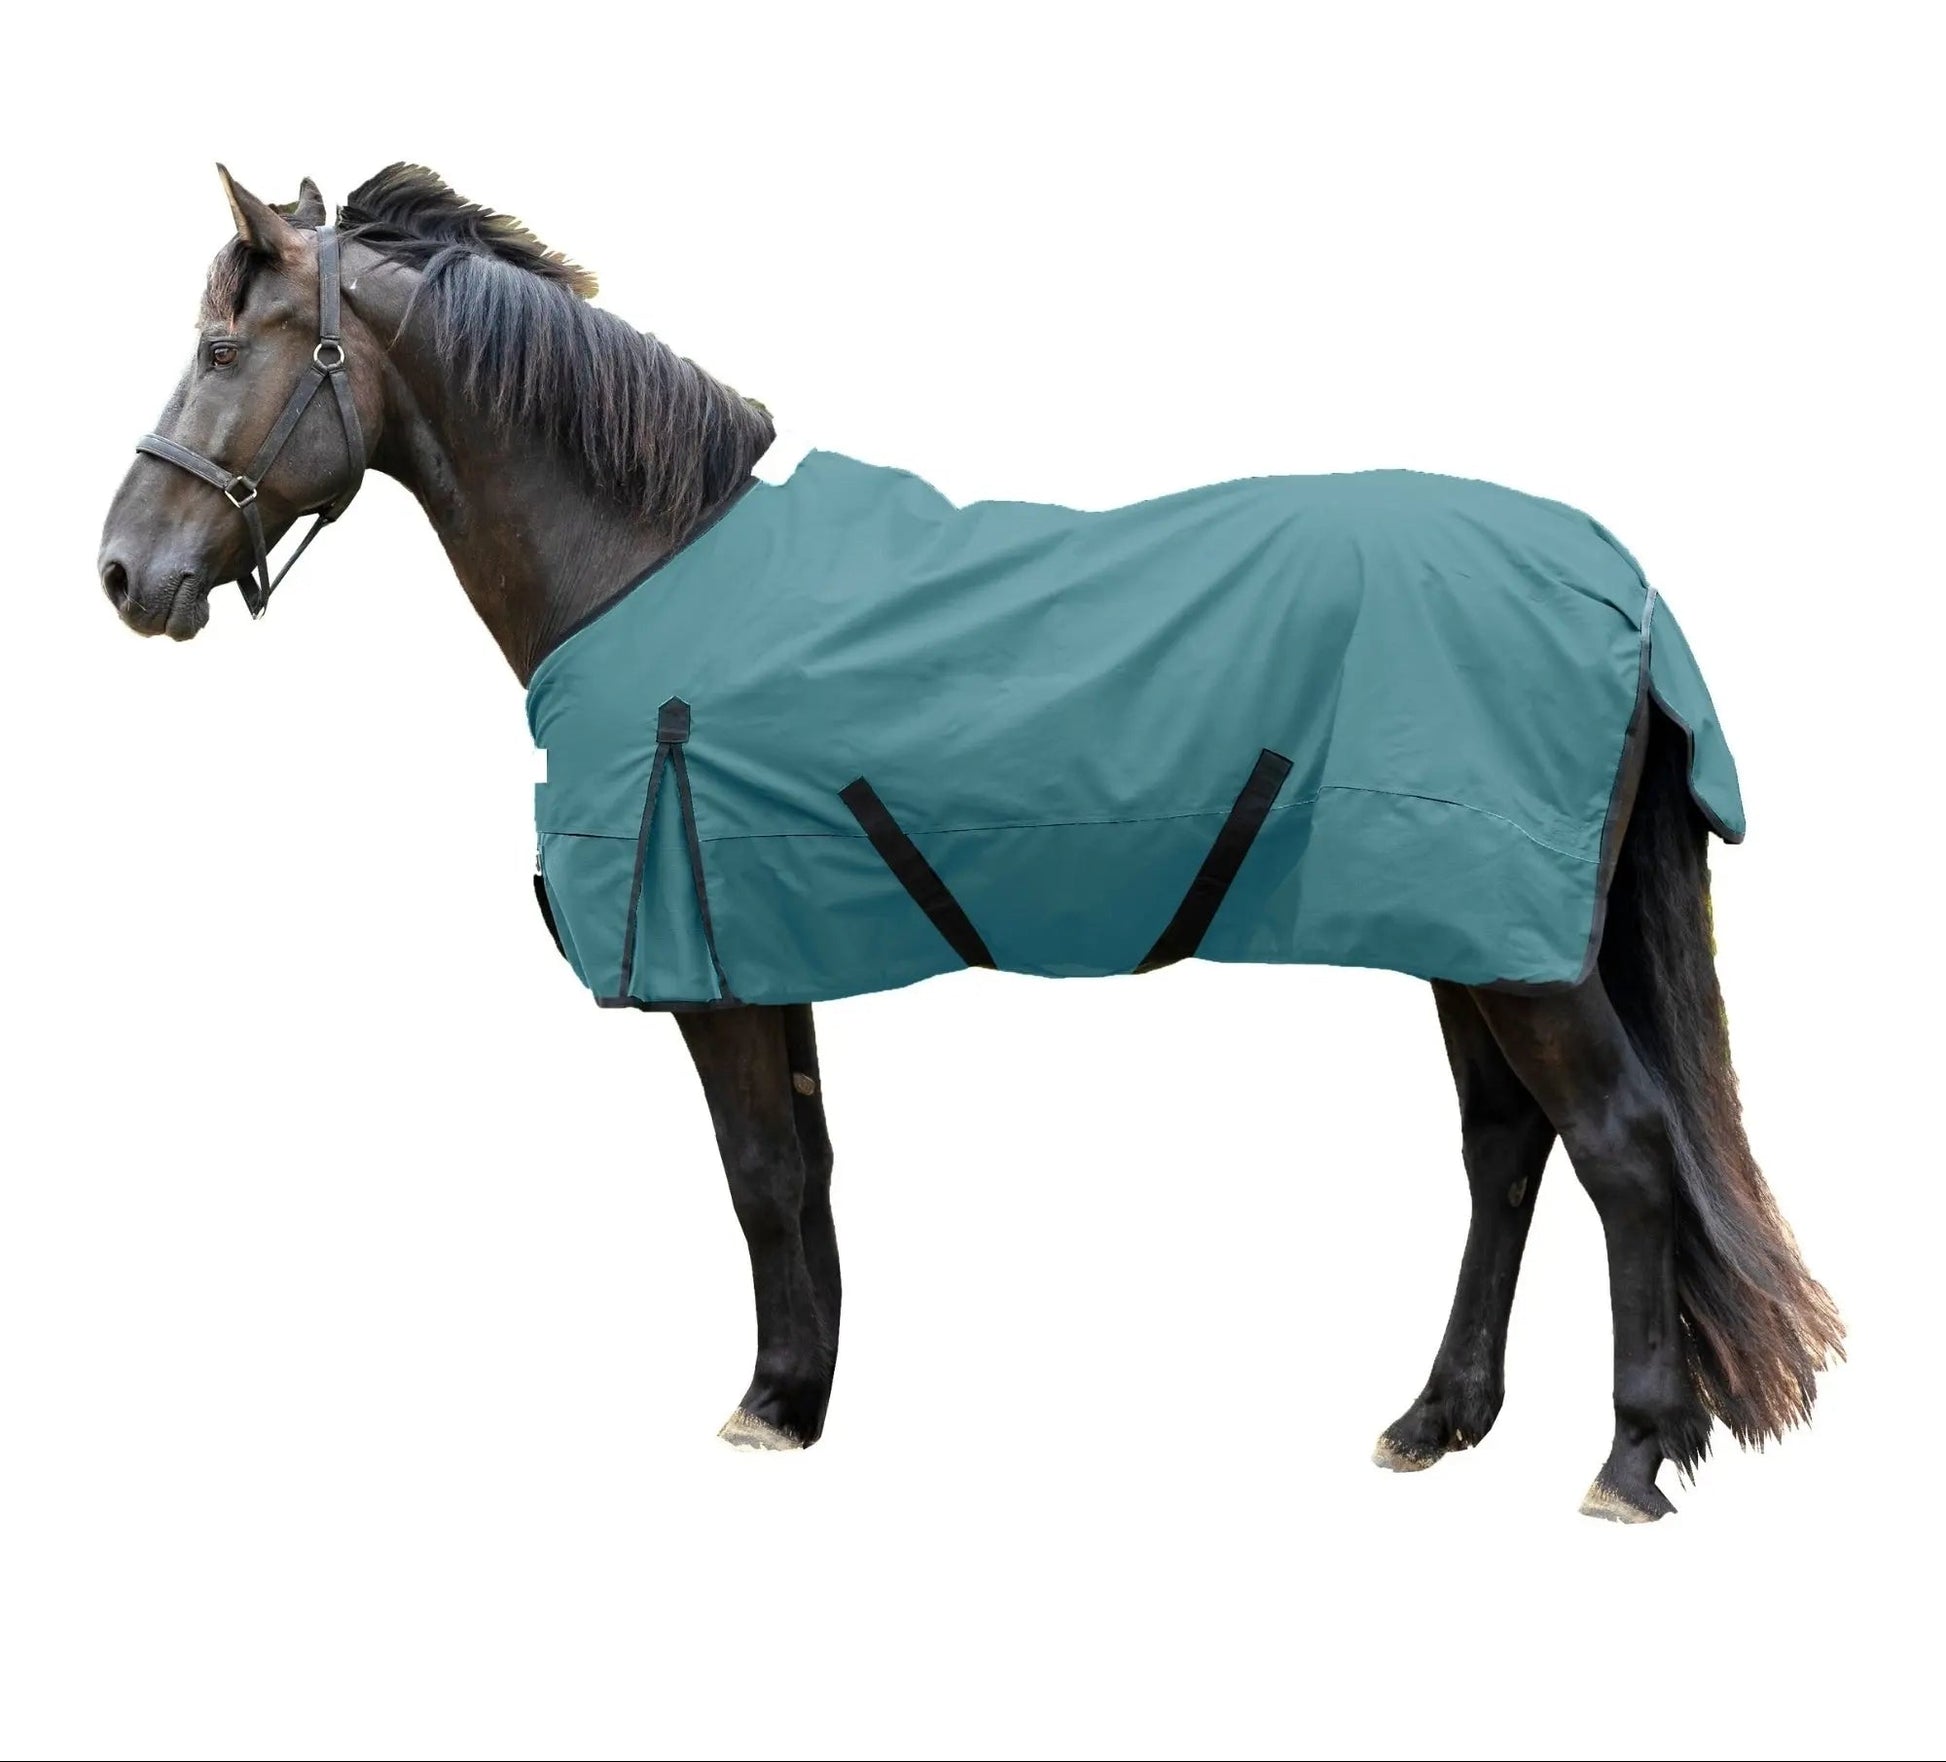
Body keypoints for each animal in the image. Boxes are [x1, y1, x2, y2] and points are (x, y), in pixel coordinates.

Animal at [96, 164, 1842, 1522]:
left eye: (217, 347)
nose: (122, 571)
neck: (648, 560)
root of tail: (1615, 579)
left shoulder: (714, 967)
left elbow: (755, 1173)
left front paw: (764, 1404)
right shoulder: (763, 945)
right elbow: (800, 1170)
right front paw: (800, 1392)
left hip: (1515, 954)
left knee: (1620, 1151)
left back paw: (1627, 1456)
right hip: (1465, 938)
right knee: (1504, 1152)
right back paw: (1437, 1419)